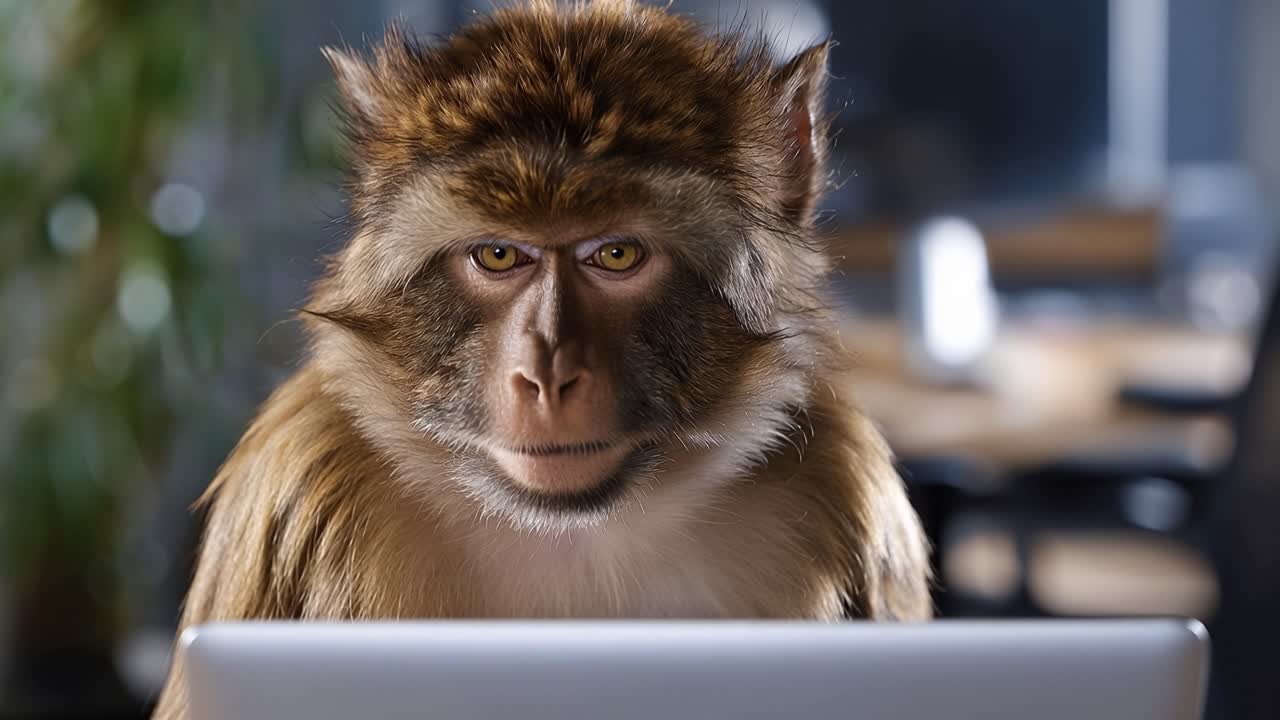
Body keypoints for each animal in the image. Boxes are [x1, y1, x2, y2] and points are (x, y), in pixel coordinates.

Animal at [153, 1, 931, 717]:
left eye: (616, 254)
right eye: (499, 254)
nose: (546, 376)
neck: (567, 529)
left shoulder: (846, 478)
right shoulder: (292, 476)